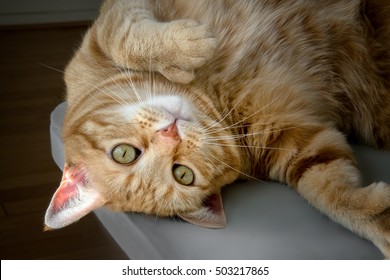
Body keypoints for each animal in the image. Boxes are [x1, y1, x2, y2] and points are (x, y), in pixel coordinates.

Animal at [43, 0, 390, 258]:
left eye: (124, 154)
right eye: (183, 174)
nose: (171, 133)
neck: (208, 92)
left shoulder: (108, 25)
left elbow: (124, 40)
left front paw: (184, 48)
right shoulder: (298, 142)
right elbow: (328, 191)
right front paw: (379, 219)